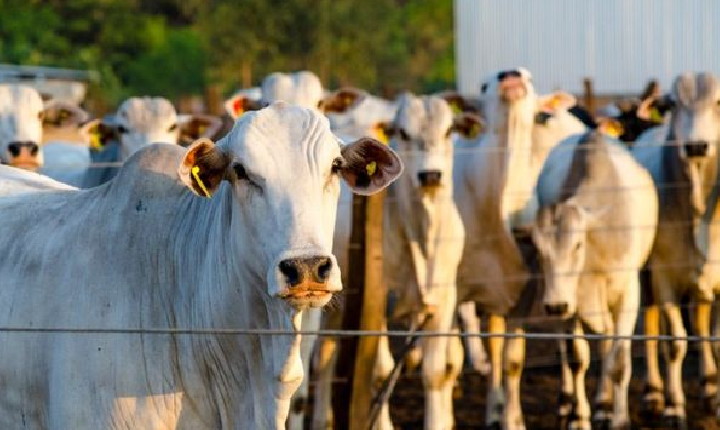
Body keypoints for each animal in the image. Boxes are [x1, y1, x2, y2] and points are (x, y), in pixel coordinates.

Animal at [536, 133, 660, 428]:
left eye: (578, 244)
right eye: (538, 249)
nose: (554, 305)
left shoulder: (629, 293)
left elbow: (619, 362)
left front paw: (620, 420)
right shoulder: (571, 301)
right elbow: (576, 359)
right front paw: (579, 417)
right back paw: (596, 404)